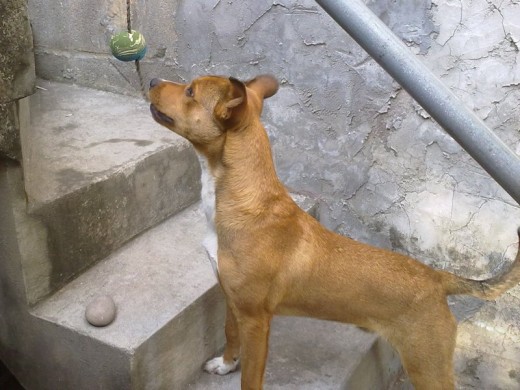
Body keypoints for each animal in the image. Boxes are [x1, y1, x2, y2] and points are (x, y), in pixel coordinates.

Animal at [148, 74, 520, 388]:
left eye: (190, 92)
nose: (151, 81)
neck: (245, 201)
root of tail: (437, 278)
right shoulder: (232, 298)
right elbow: (229, 334)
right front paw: (225, 365)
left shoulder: (256, 320)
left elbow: (250, 377)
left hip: (427, 366)